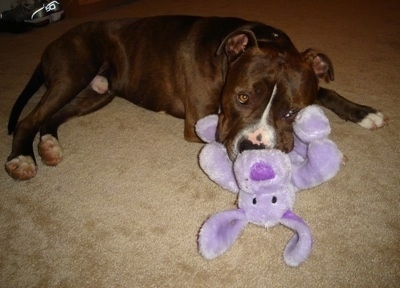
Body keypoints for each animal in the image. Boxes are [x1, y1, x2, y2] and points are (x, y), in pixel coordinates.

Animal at [6, 15, 386, 180]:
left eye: (292, 113)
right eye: (242, 97)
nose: (252, 148)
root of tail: (54, 41)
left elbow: (326, 90)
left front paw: (363, 112)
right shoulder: (203, 123)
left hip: (99, 92)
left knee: (51, 117)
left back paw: (49, 145)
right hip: (73, 73)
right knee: (29, 118)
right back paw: (22, 159)